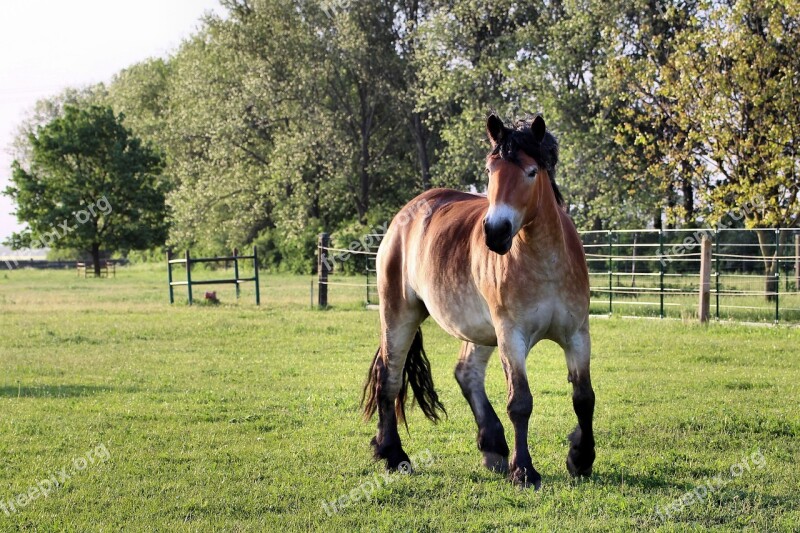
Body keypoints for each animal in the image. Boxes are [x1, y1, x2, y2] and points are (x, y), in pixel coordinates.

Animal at [362, 114, 592, 488]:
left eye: (531, 171)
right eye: (490, 170)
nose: (496, 232)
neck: (546, 262)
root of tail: (406, 215)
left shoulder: (577, 334)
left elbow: (584, 397)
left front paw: (581, 458)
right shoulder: (511, 335)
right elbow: (520, 402)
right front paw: (524, 471)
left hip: (481, 330)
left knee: (466, 373)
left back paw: (493, 446)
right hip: (399, 314)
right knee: (389, 378)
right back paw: (394, 455)